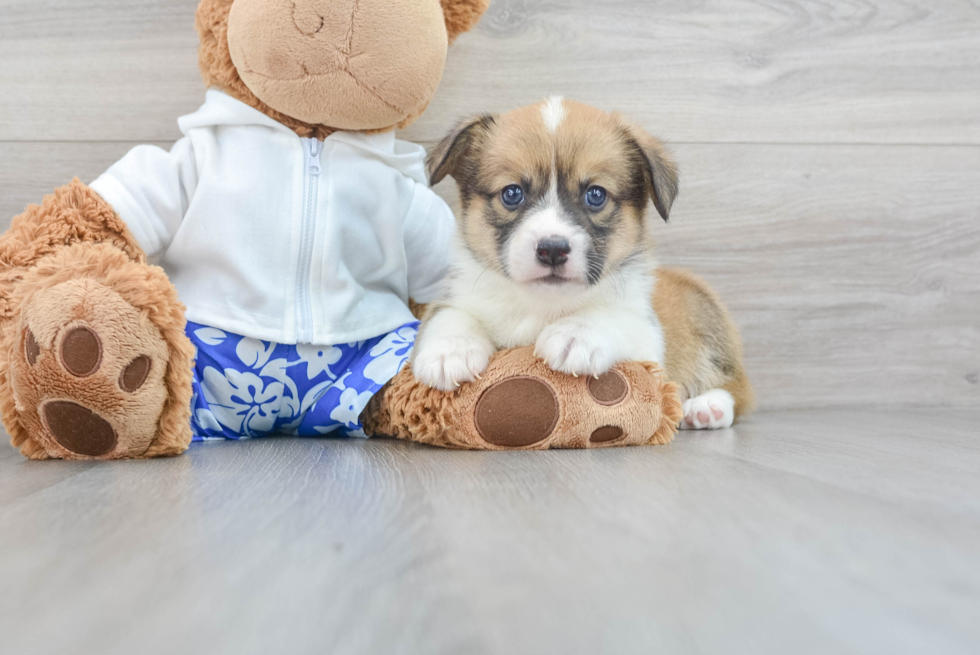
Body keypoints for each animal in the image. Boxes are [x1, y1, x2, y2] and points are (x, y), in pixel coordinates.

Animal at [410, 97, 756, 430]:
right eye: (512, 193)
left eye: (596, 195)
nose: (552, 250)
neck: (542, 305)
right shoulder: (456, 297)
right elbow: (452, 316)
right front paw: (449, 352)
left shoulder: (647, 340)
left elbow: (613, 316)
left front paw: (576, 334)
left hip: (709, 335)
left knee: (739, 389)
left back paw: (707, 407)